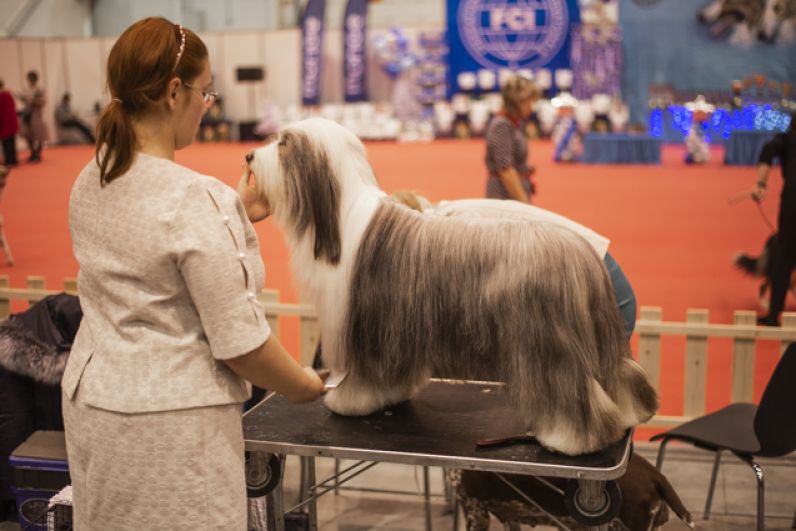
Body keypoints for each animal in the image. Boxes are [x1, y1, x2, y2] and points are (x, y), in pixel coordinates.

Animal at [244, 119, 660, 458]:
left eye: (284, 144)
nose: (248, 155)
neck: (339, 220)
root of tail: (583, 255)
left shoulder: (368, 325)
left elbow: (364, 376)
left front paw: (349, 401)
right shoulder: (399, 331)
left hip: (546, 345)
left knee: (570, 392)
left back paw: (570, 439)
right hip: (596, 336)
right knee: (616, 375)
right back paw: (627, 412)